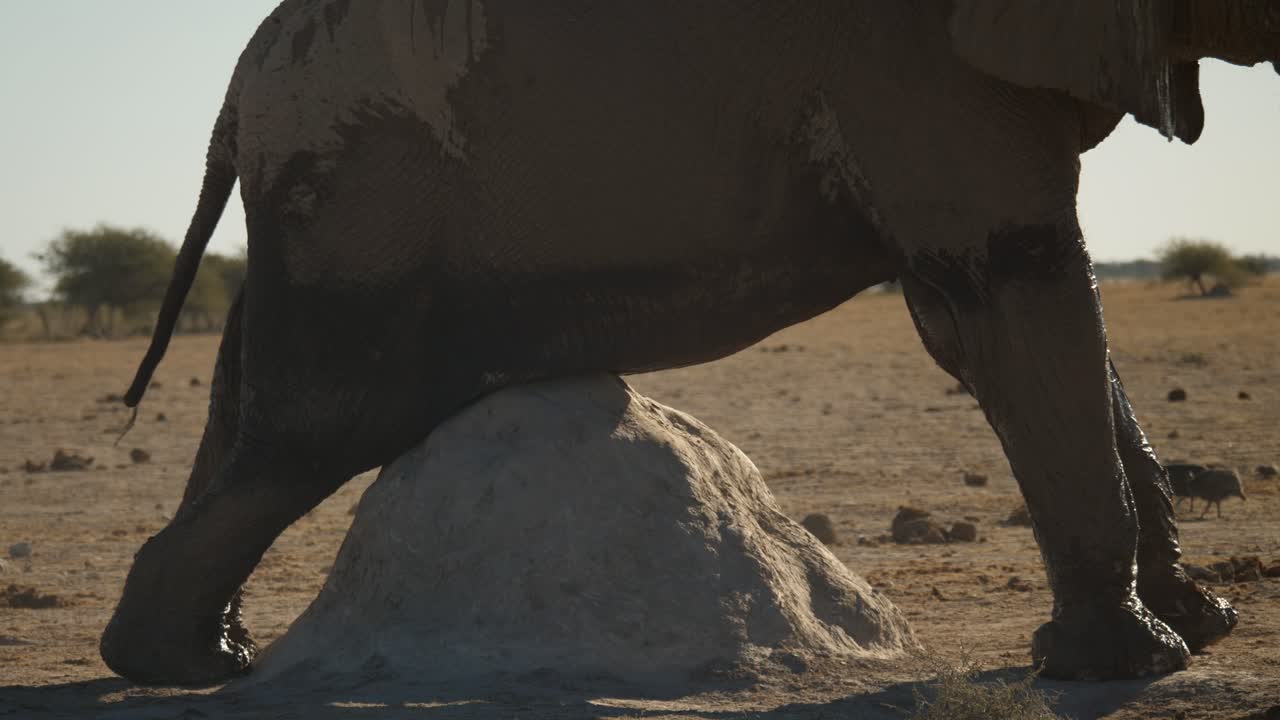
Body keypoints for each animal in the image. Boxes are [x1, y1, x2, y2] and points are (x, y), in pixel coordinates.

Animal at [101, 0, 1277, 686]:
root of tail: (232, 98)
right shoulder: (914, 73)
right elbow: (1013, 279)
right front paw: (1128, 664)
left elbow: (1005, 308)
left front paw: (1200, 622)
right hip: (364, 189)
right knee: (329, 420)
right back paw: (183, 665)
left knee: (259, 405)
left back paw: (188, 657)